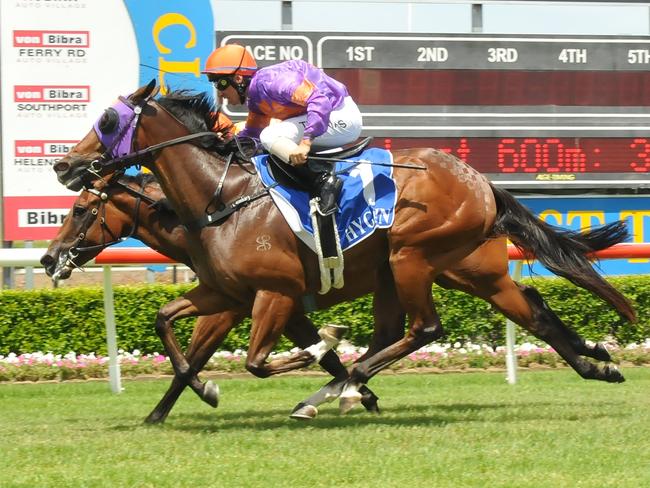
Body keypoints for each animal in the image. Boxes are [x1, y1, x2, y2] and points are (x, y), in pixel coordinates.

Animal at [52, 82, 632, 418]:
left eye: (107, 122)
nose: (64, 164)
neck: (221, 200)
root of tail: (480, 181)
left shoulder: (274, 295)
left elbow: (263, 360)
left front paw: (329, 361)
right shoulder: (226, 293)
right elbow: (169, 327)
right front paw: (166, 410)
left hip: (411, 258)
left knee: (425, 329)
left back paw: (340, 390)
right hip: (459, 272)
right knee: (529, 311)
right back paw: (598, 362)